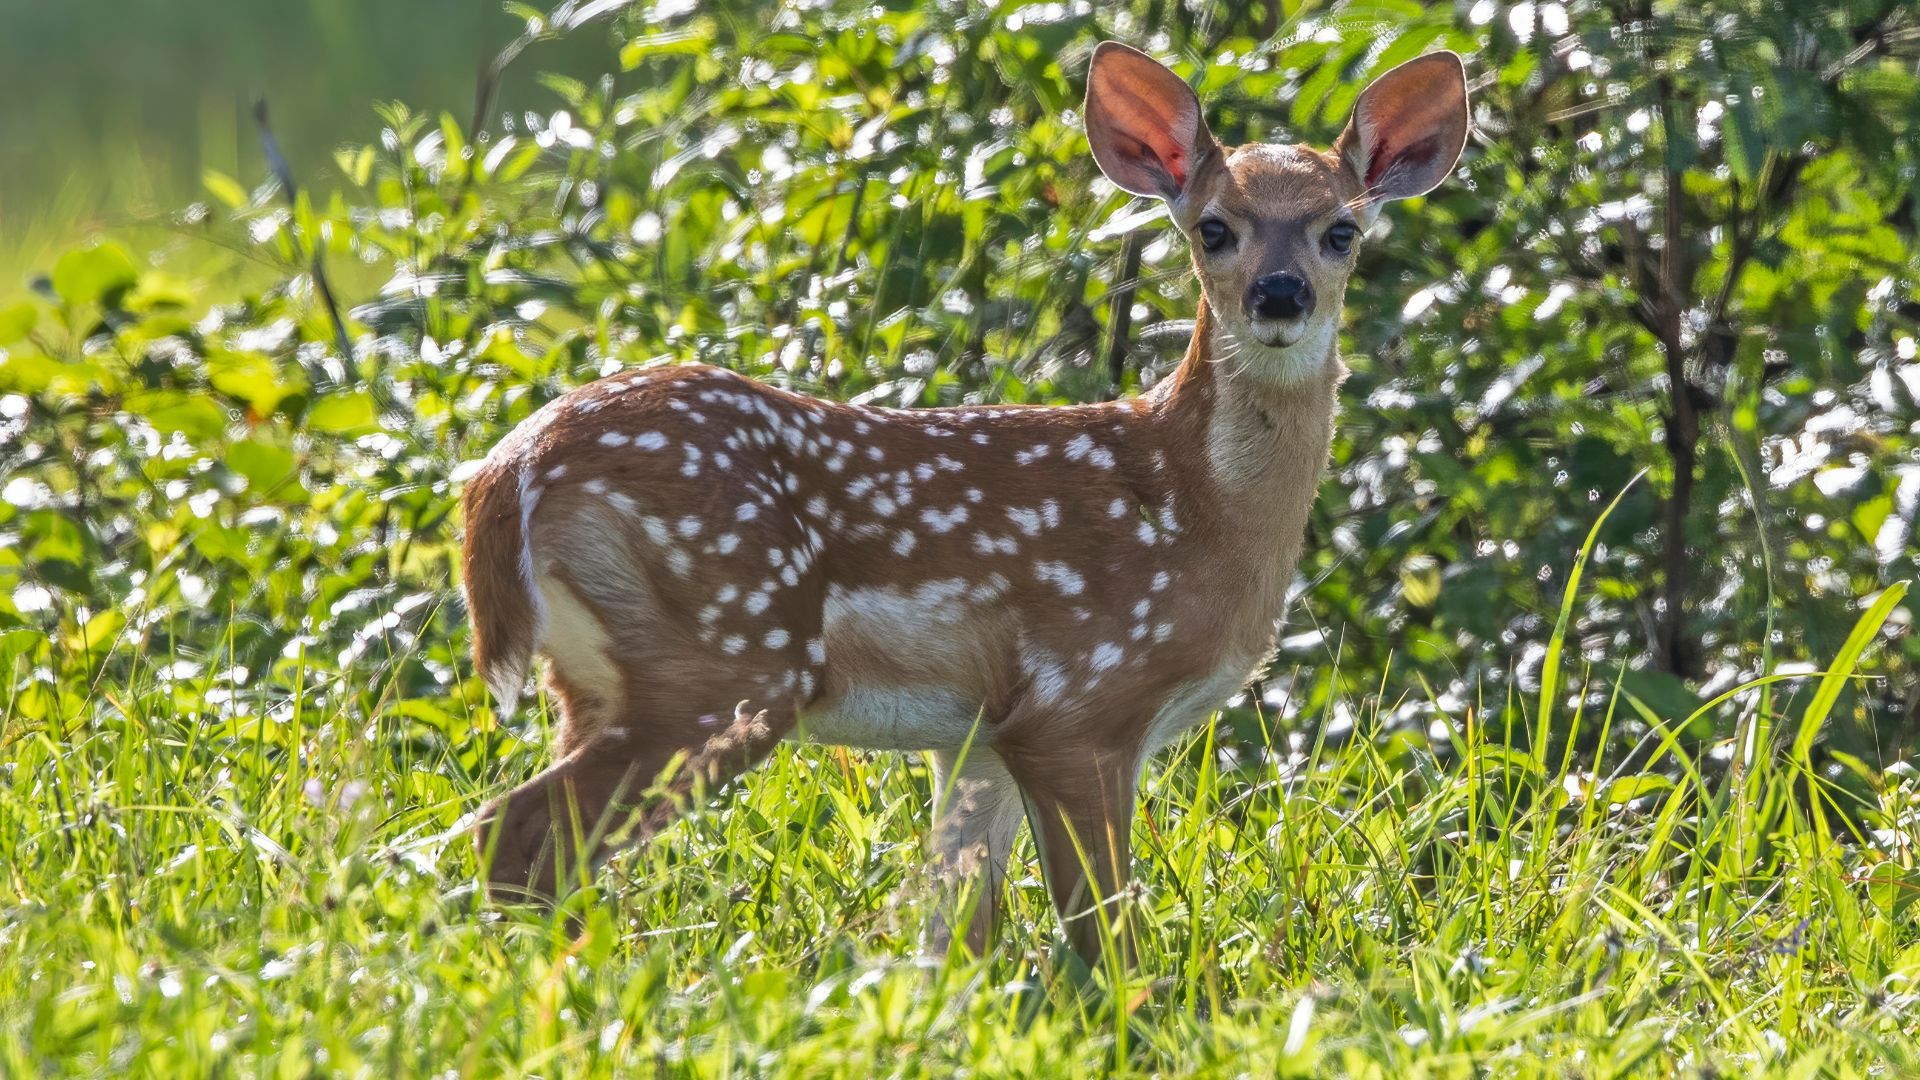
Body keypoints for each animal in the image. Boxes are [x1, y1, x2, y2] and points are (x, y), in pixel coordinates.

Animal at [460, 41, 1469, 962]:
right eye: (1214, 228)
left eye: (1342, 230)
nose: (1280, 294)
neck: (1198, 510)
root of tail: (510, 470)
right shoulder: (1081, 703)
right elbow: (1107, 936)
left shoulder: (978, 733)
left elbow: (954, 935)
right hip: (723, 658)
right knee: (514, 834)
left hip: (601, 676)